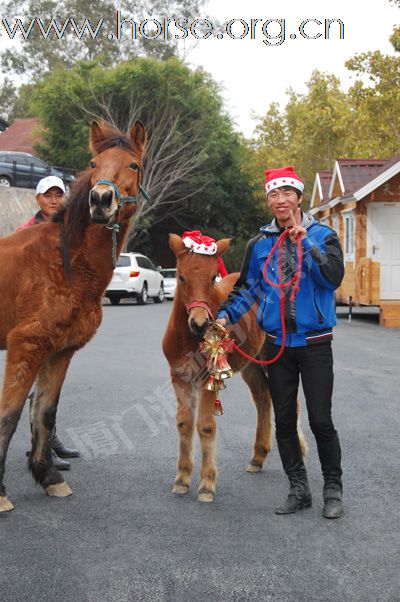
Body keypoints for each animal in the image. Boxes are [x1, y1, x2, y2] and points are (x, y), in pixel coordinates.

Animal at [0, 119, 147, 508]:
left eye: (133, 165)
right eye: (94, 164)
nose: (101, 200)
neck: (63, 263)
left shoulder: (60, 350)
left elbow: (45, 413)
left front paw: (48, 476)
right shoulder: (25, 346)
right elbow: (10, 415)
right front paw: (1, 494)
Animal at [162, 234, 306, 502]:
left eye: (212, 278)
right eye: (181, 277)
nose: (200, 323)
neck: (189, 338)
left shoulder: (208, 377)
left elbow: (206, 426)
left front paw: (207, 485)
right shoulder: (179, 377)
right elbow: (184, 424)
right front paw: (182, 479)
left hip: (273, 356)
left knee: (288, 401)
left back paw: (299, 450)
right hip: (251, 364)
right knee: (263, 397)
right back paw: (258, 456)